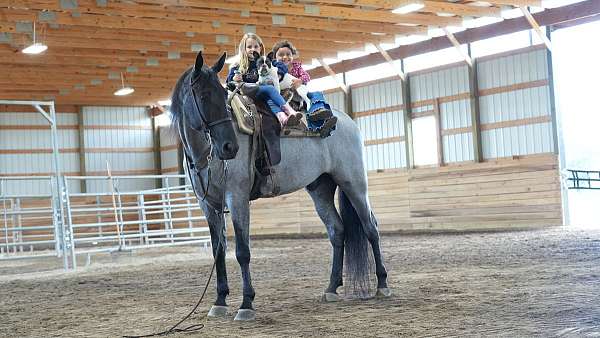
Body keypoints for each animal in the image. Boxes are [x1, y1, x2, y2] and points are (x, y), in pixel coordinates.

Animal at [171, 51, 392, 320]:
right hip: (320, 189)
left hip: (354, 183)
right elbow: (218, 251)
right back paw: (331, 288)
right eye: (203, 96)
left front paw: (246, 304)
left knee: (370, 228)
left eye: (223, 97)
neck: (206, 154)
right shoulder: (208, 206)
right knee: (337, 231)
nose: (230, 147)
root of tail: (346, 121)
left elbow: (242, 252)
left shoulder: (237, 197)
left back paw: (382, 284)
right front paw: (220, 301)